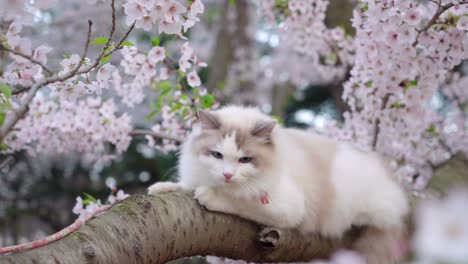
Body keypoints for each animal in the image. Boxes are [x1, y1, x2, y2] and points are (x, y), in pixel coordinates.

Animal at [148, 105, 408, 264]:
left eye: (245, 160)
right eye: (217, 155)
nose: (228, 175)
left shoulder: (285, 207)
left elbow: (241, 203)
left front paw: (210, 195)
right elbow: (185, 185)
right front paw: (163, 187)